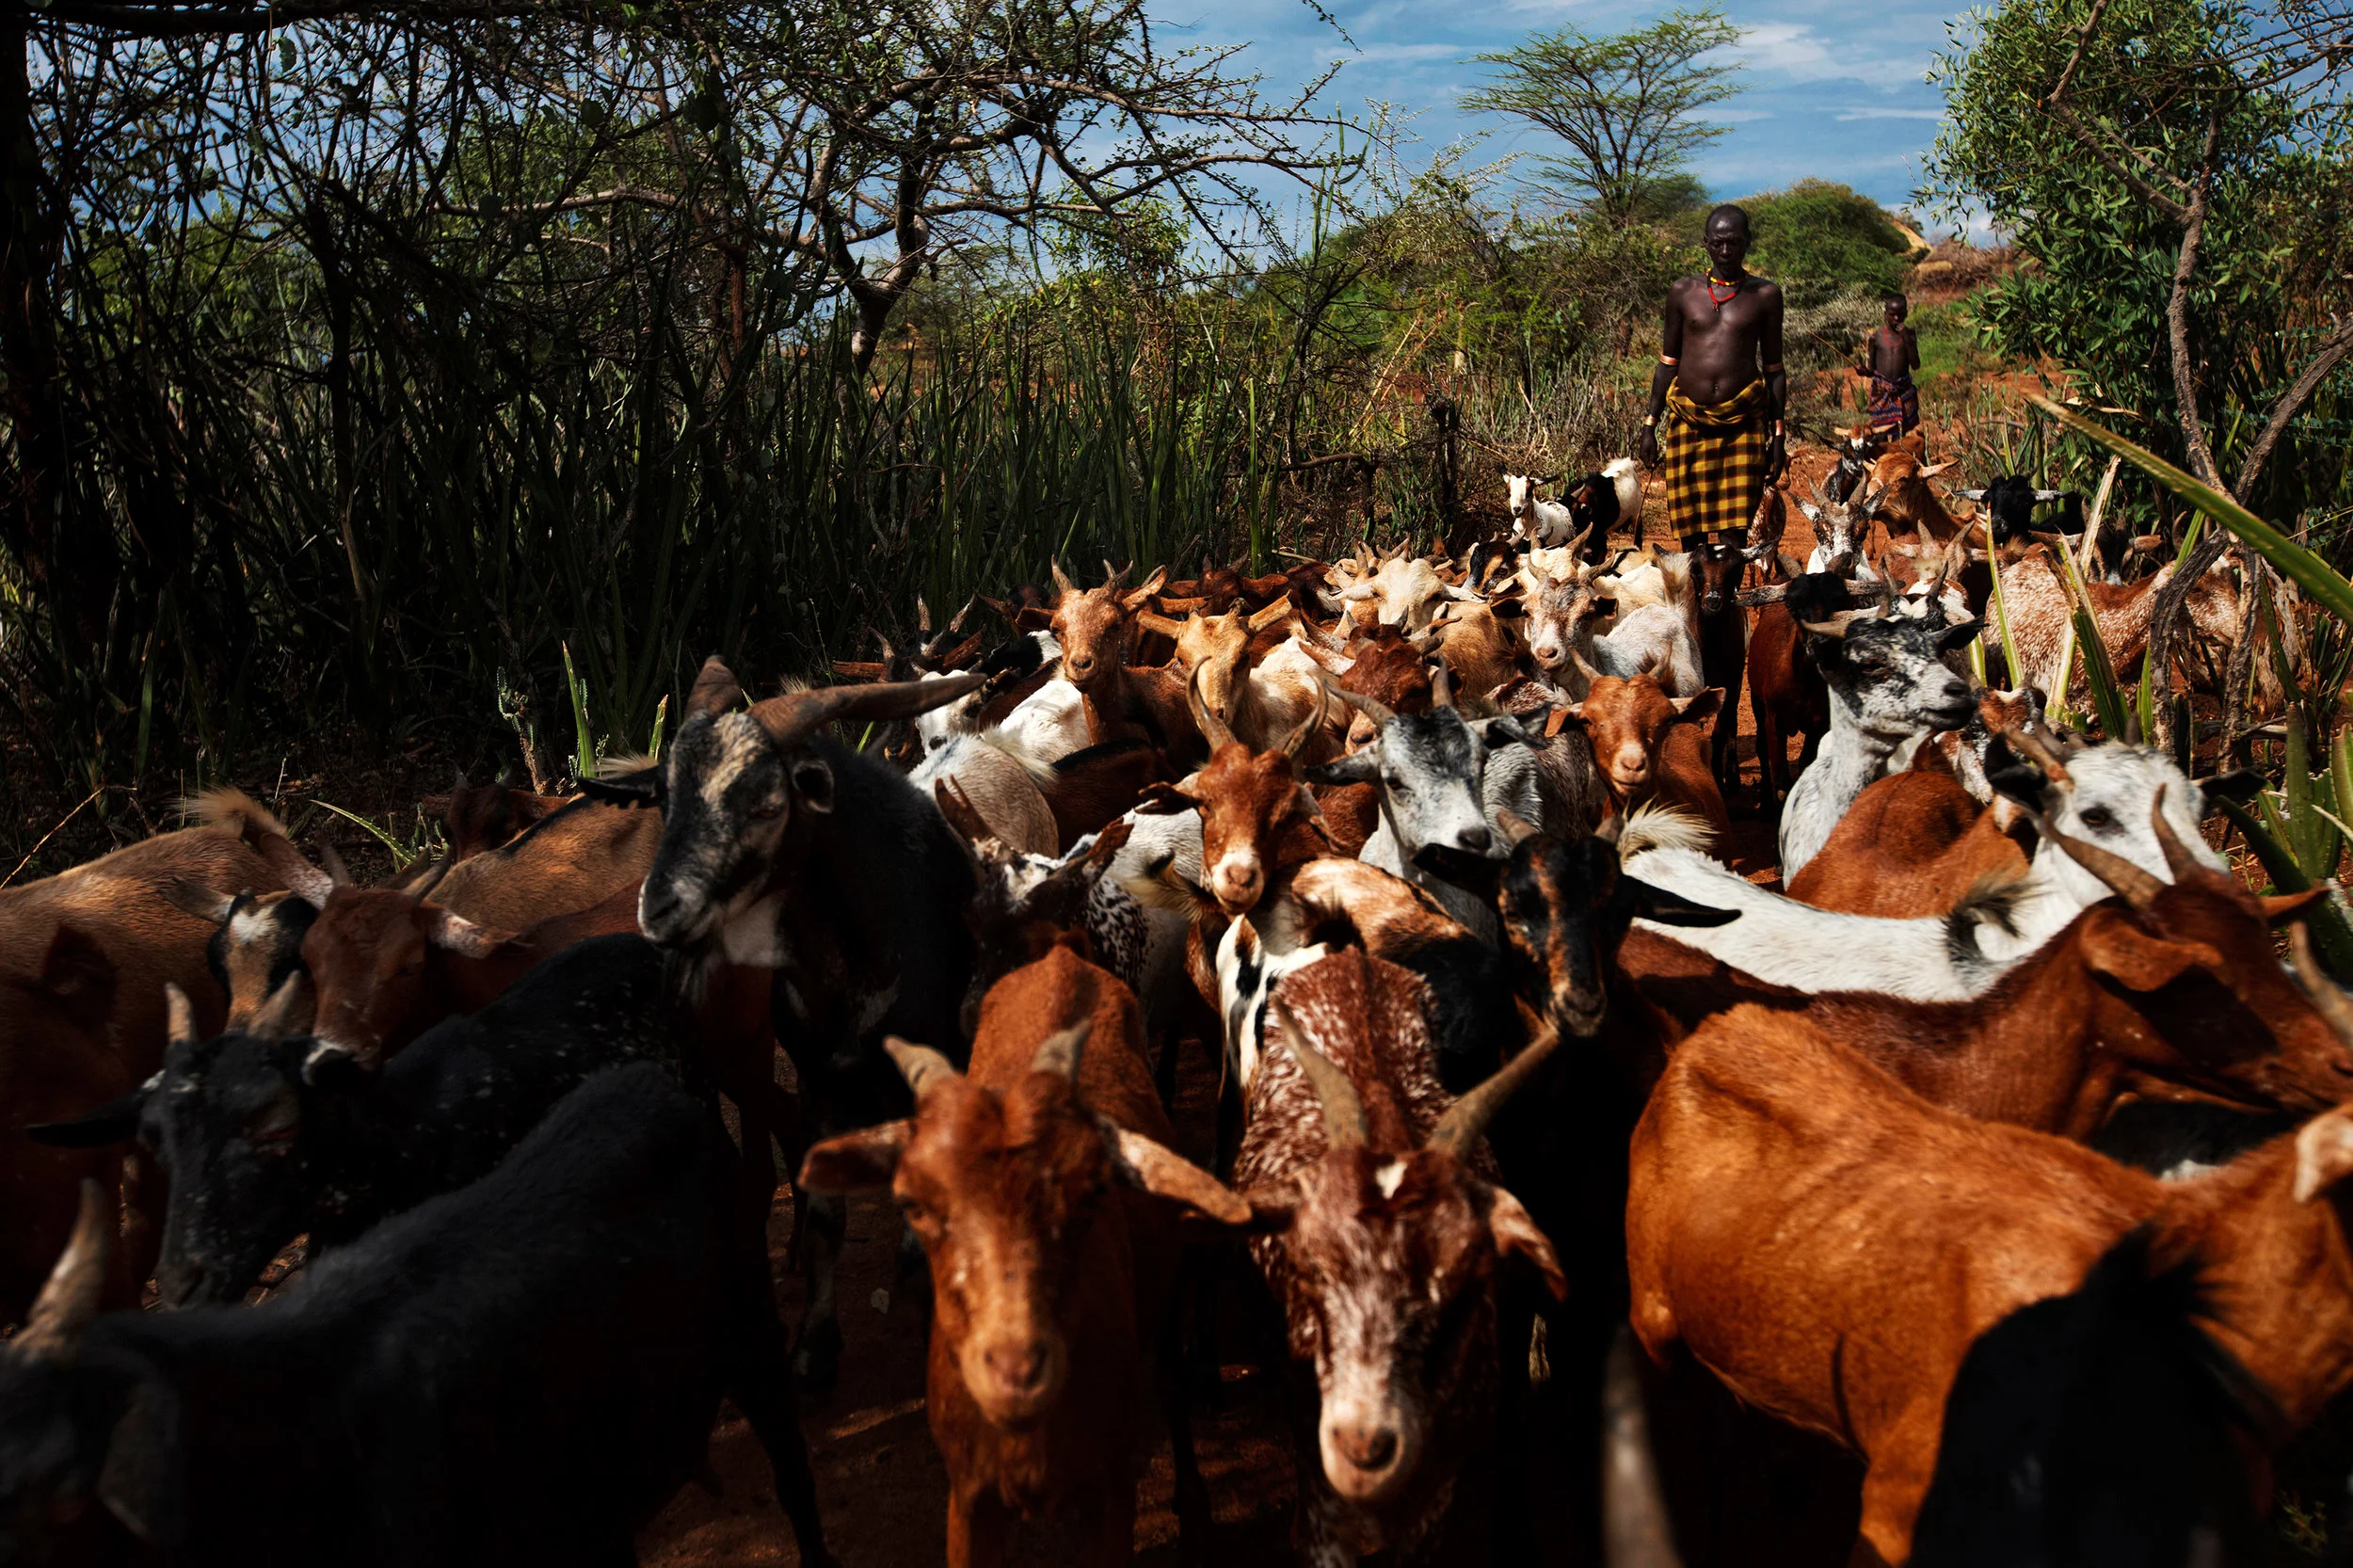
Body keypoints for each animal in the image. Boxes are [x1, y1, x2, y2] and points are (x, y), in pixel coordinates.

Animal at [799, 948, 1247, 1567]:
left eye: (1093, 1193)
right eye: (912, 1203)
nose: (1016, 1373)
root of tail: (1062, 955)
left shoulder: (1111, 1495)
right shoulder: (969, 1500)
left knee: (1171, 1375)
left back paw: (1196, 1507)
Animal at [1235, 950, 1565, 1564]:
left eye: (1465, 1281)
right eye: (1309, 1270)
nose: (1363, 1448)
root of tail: (1350, 957)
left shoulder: (1434, 1500)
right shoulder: (1325, 1512)